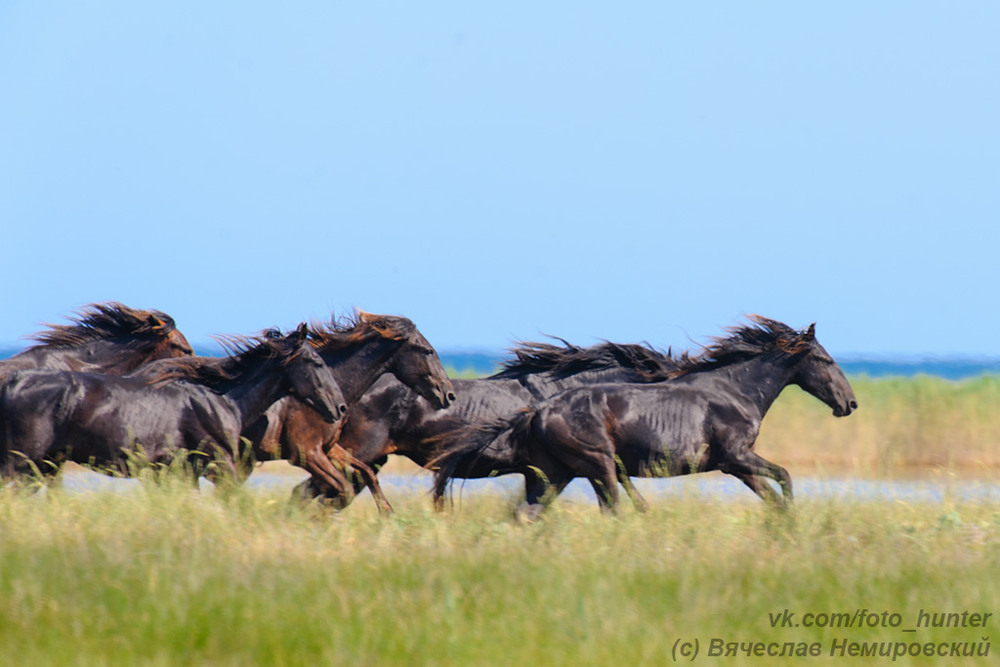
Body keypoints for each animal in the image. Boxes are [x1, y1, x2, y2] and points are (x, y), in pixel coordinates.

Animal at [0, 322, 346, 486]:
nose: (341, 408)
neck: (222, 400)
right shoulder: (221, 465)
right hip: (24, 461)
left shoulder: (179, 473)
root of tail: (16, 382)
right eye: (316, 362)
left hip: (41, 464)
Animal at [245, 310, 458, 516]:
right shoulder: (306, 452)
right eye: (428, 351)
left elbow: (365, 474)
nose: (449, 394)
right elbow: (340, 489)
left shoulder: (330, 449)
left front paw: (388, 513)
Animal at [436, 318, 860, 520]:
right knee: (611, 509)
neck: (734, 392)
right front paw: (791, 524)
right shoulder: (737, 457)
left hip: (557, 473)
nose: (851, 403)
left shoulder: (735, 466)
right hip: (599, 465)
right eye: (825, 360)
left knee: (528, 514)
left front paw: (782, 526)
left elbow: (772, 495)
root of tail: (538, 410)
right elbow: (786, 477)